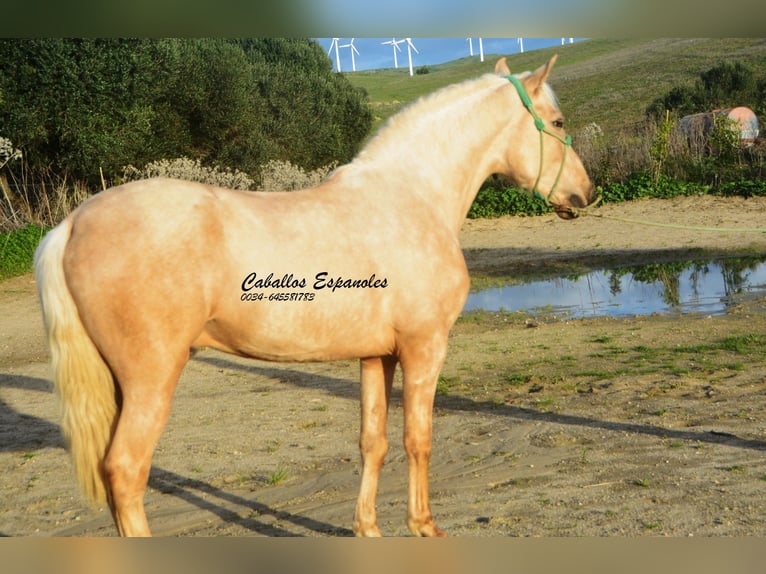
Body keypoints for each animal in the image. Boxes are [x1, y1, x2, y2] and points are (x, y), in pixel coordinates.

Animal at [34, 55, 595, 537]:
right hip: (152, 378)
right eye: (558, 121)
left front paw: (368, 528)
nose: (585, 193)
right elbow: (418, 439)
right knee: (126, 471)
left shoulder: (377, 355)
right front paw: (423, 526)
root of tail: (73, 222)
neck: (411, 196)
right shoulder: (425, 347)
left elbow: (374, 442)